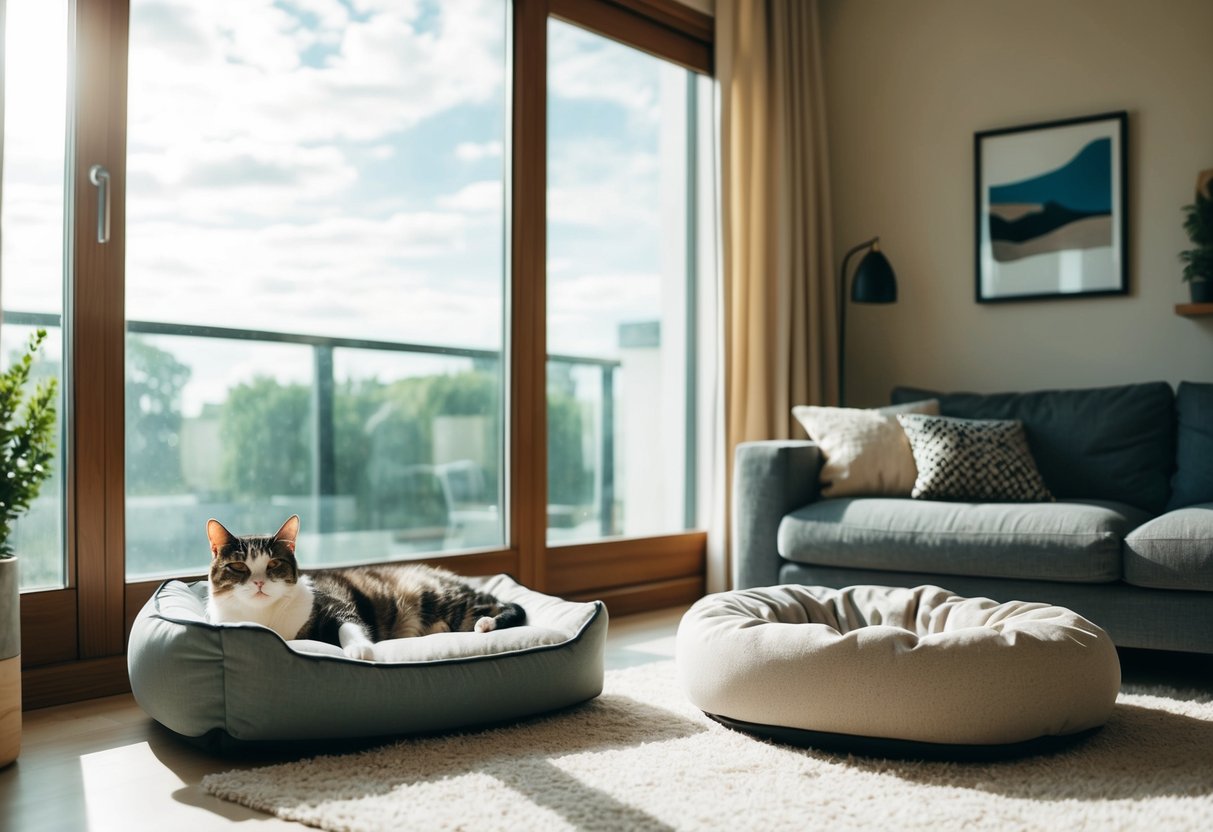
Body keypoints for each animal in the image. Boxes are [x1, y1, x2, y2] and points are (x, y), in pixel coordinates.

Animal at [204, 514, 526, 659]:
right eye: (238, 567)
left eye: (273, 564)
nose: (259, 582)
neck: (265, 616)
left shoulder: (334, 603)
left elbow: (349, 623)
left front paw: (359, 650)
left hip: (441, 599)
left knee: (508, 607)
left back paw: (487, 623)